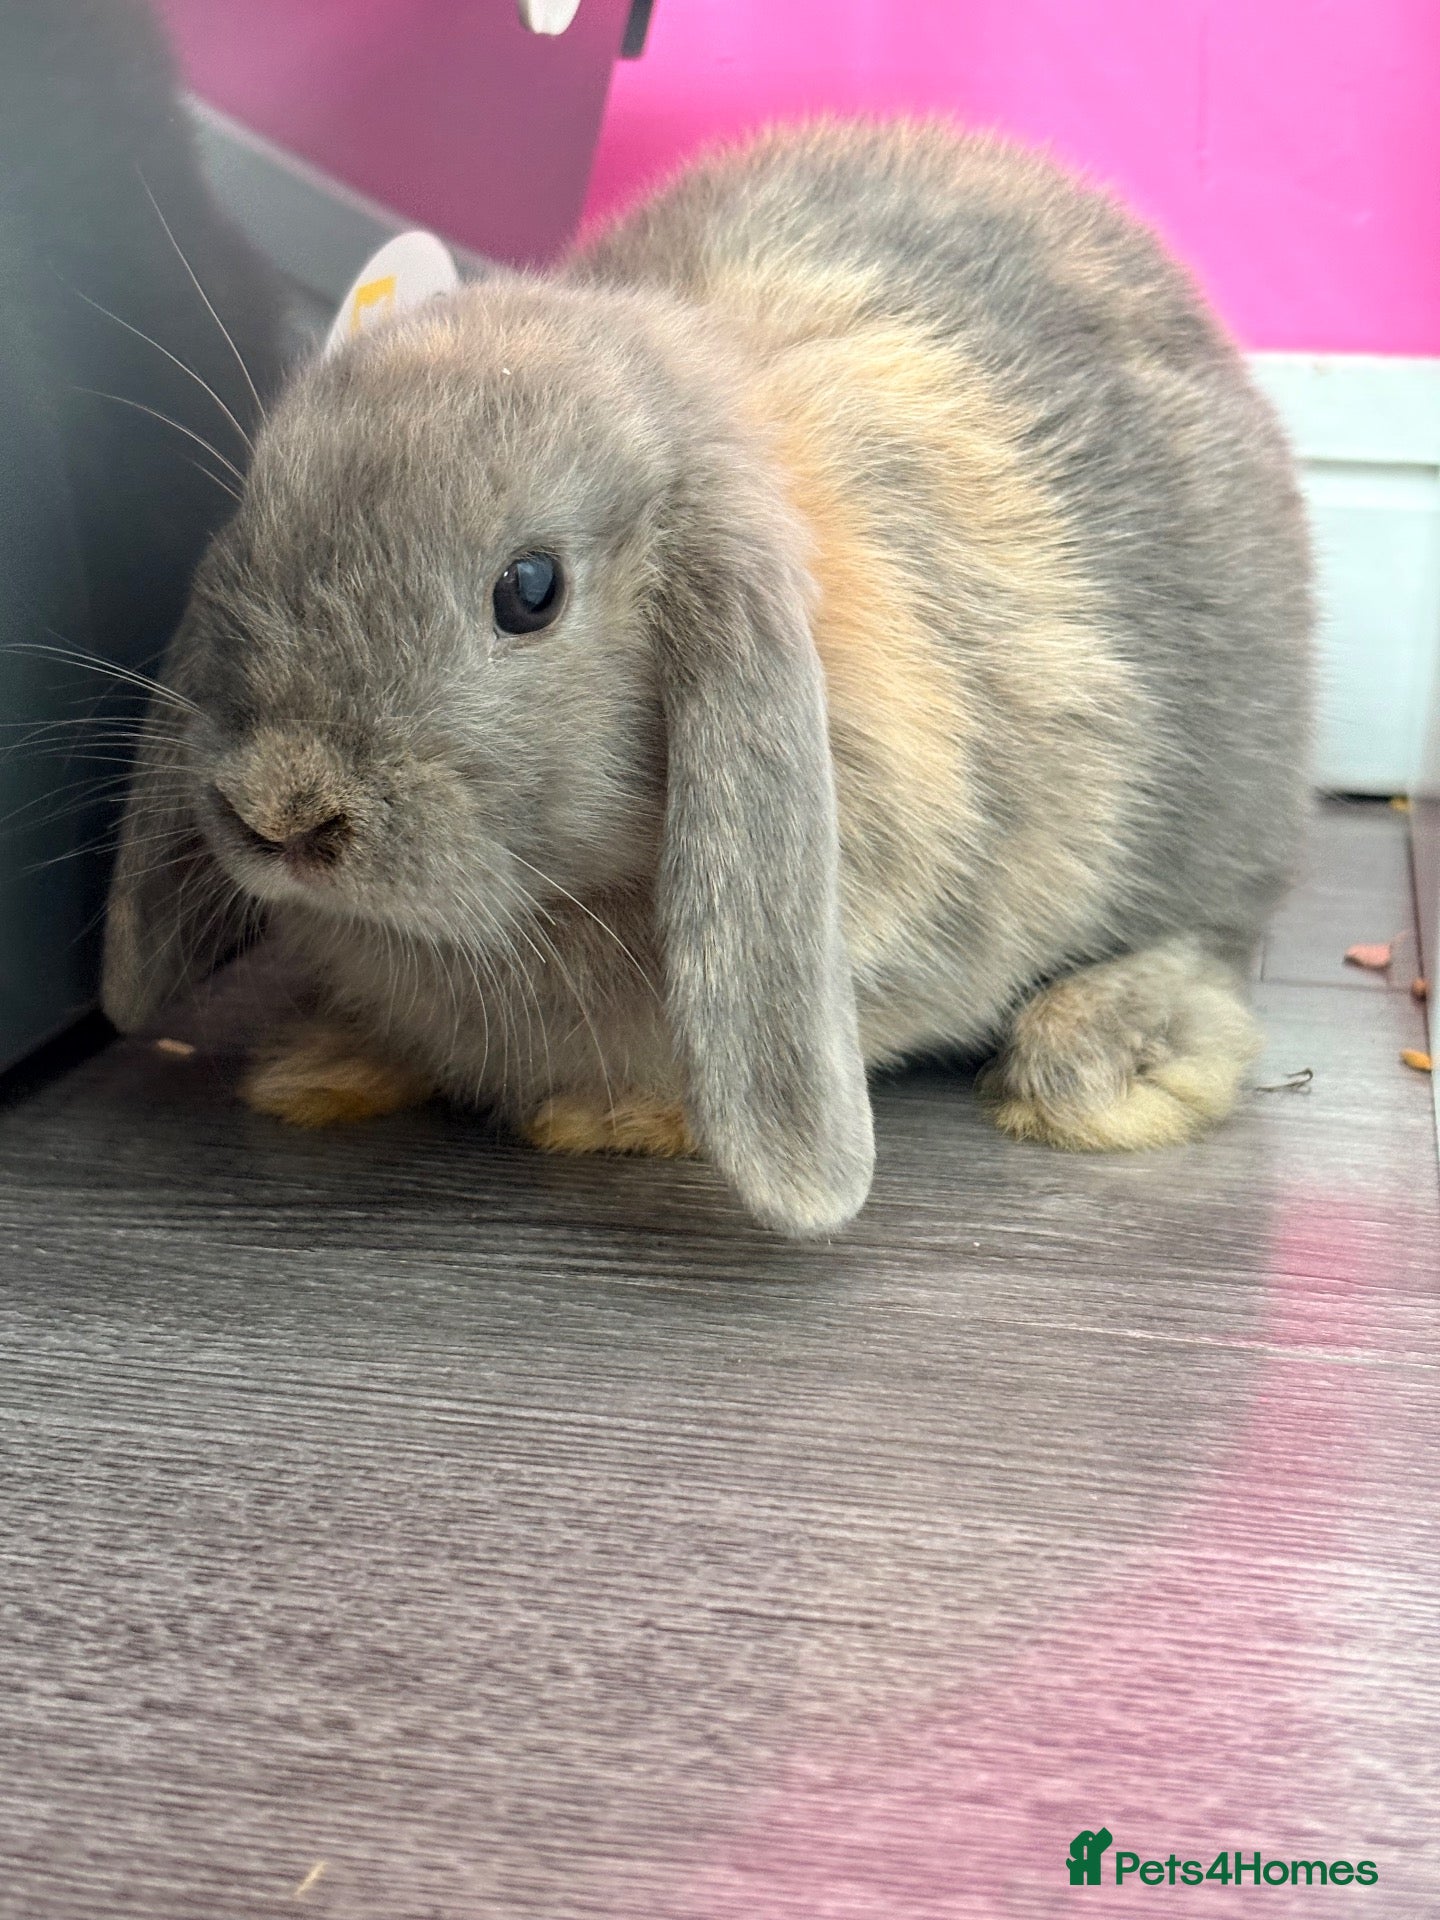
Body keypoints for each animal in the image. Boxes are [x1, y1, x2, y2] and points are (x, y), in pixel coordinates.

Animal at [102, 119, 1313, 1237]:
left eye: (530, 590)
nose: (282, 809)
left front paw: (612, 1117)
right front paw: (317, 1068)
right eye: (255, 521)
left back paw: (1104, 1066)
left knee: (1219, 949)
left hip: (1221, 821)